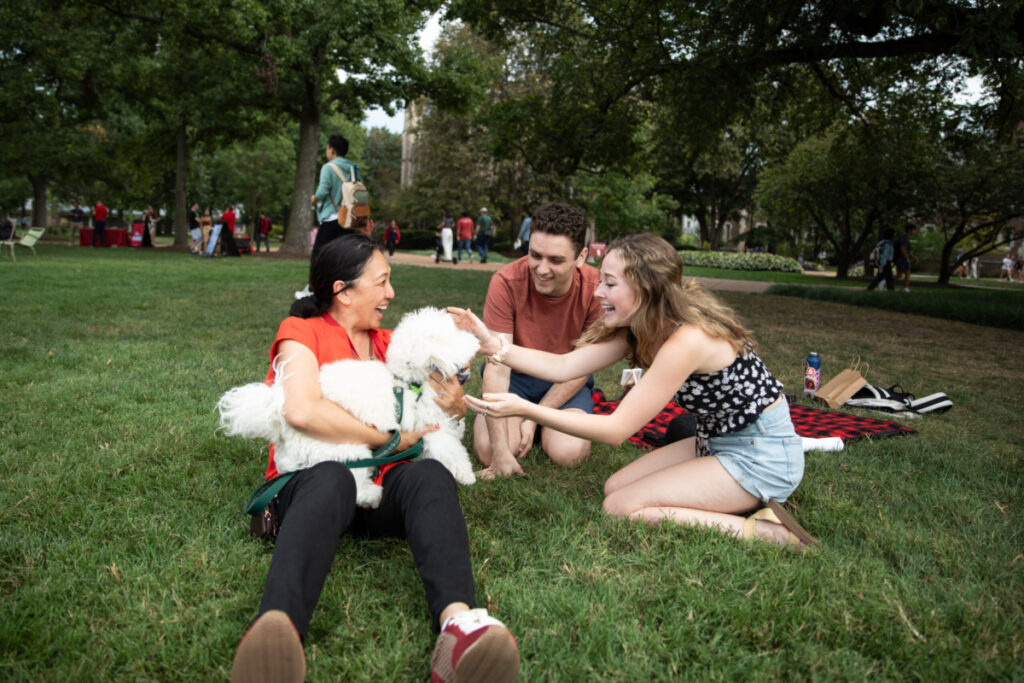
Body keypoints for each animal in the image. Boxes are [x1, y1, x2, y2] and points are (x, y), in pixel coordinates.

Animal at [217, 307, 479, 505]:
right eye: (452, 333)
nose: (474, 338)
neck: (409, 381)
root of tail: (277, 412)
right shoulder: (434, 428)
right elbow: (452, 452)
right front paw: (467, 476)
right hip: (349, 448)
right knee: (356, 485)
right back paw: (373, 495)